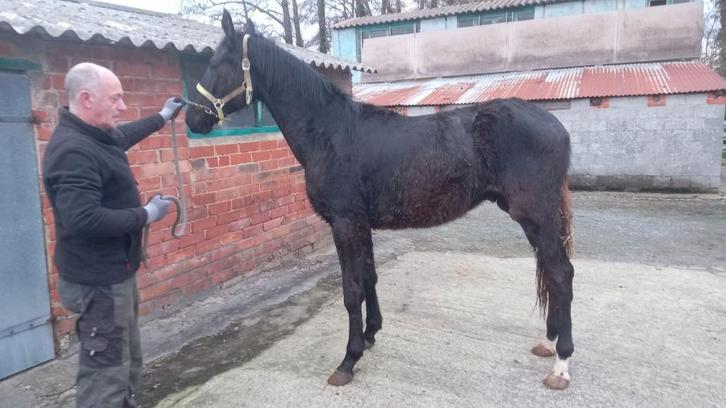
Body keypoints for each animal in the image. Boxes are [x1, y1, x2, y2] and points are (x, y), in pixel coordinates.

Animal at [185, 9, 576, 391]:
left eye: (217, 63)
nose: (191, 118)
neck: (330, 131)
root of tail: (555, 125)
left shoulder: (344, 223)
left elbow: (351, 289)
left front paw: (348, 360)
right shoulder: (362, 224)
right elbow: (370, 277)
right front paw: (371, 333)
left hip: (536, 213)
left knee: (561, 273)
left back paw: (562, 363)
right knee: (551, 270)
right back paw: (550, 341)